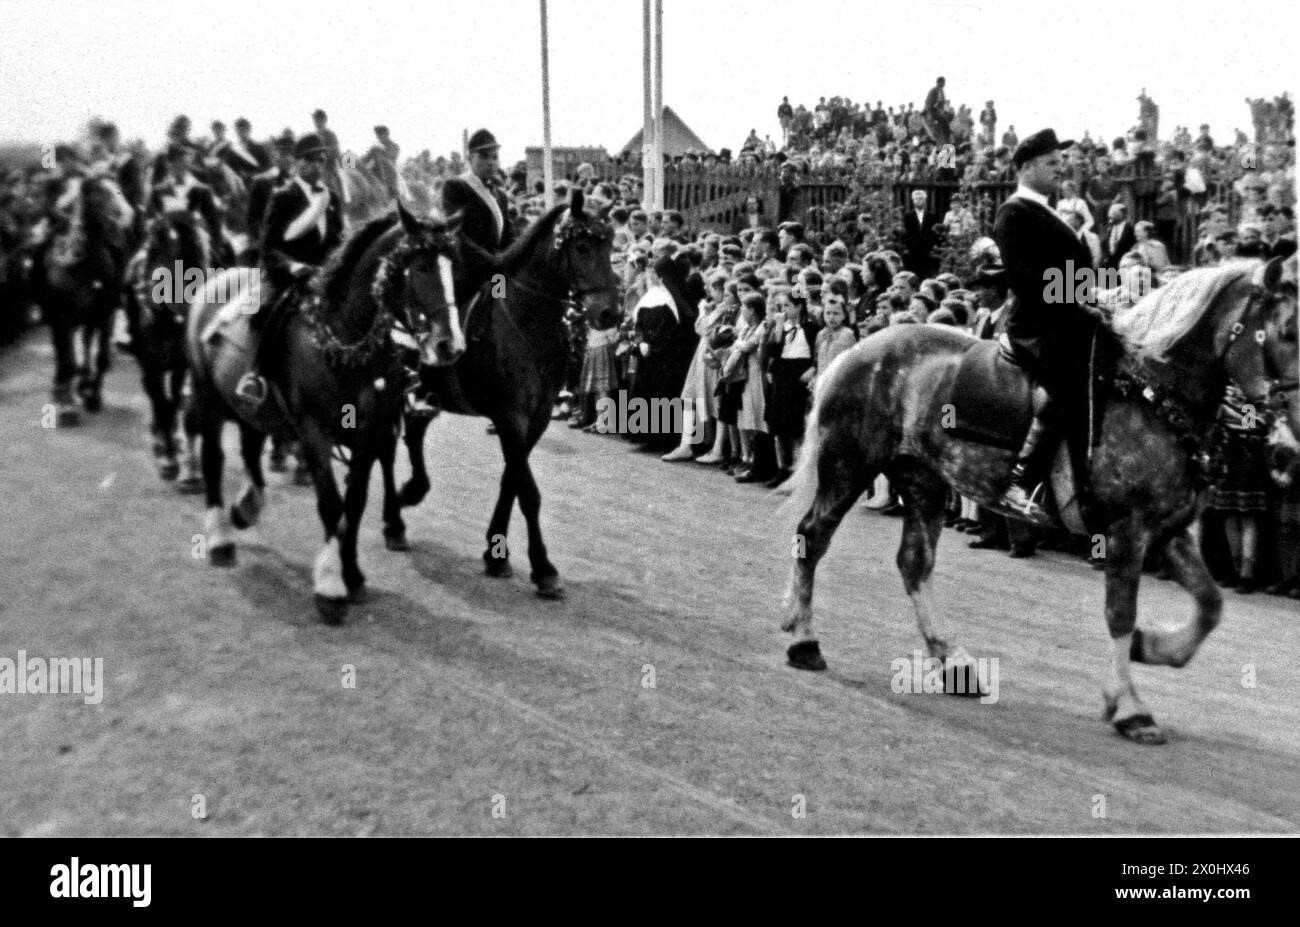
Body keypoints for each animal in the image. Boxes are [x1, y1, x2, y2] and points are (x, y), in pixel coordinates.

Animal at [37, 175, 129, 423]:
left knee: (86, 345)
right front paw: (67, 406)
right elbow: (68, 358)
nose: (126, 215)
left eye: (118, 190)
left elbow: (101, 357)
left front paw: (93, 395)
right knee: (62, 352)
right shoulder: (63, 317)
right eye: (98, 194)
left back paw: (83, 383)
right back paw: (62, 387)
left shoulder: (105, 314)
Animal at [128, 209, 209, 483]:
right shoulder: (151, 366)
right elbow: (161, 404)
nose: (180, 307)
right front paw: (168, 460)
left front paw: (176, 452)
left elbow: (173, 403)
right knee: (154, 397)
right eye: (155, 246)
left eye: (193, 247)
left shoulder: (180, 366)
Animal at [185, 202, 465, 621]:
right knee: (214, 458)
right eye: (419, 267)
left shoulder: (370, 433)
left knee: (250, 445)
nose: (449, 345)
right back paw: (220, 537)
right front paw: (331, 585)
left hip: (251, 407)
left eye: (453, 266)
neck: (346, 342)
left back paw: (247, 507)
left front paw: (353, 574)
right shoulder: (315, 431)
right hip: (208, 398)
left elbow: (356, 501)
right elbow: (332, 503)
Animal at [395, 188, 618, 600]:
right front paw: (543, 569)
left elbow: (511, 481)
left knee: (414, 431)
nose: (610, 314)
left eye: (609, 244)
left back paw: (409, 494)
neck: (527, 324)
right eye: (581, 246)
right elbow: (528, 492)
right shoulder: (510, 417)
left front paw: (495, 554)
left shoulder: (537, 418)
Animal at [774, 254, 1294, 743]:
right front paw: (1130, 707)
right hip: (849, 466)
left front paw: (1152, 649)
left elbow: (1210, 605)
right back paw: (805, 641)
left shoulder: (1167, 533)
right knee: (813, 538)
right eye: (1287, 331)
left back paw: (954, 662)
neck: (1152, 394)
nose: (1287, 450)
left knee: (913, 563)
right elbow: (1121, 614)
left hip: (923, 481)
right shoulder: (1127, 532)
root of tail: (859, 349)